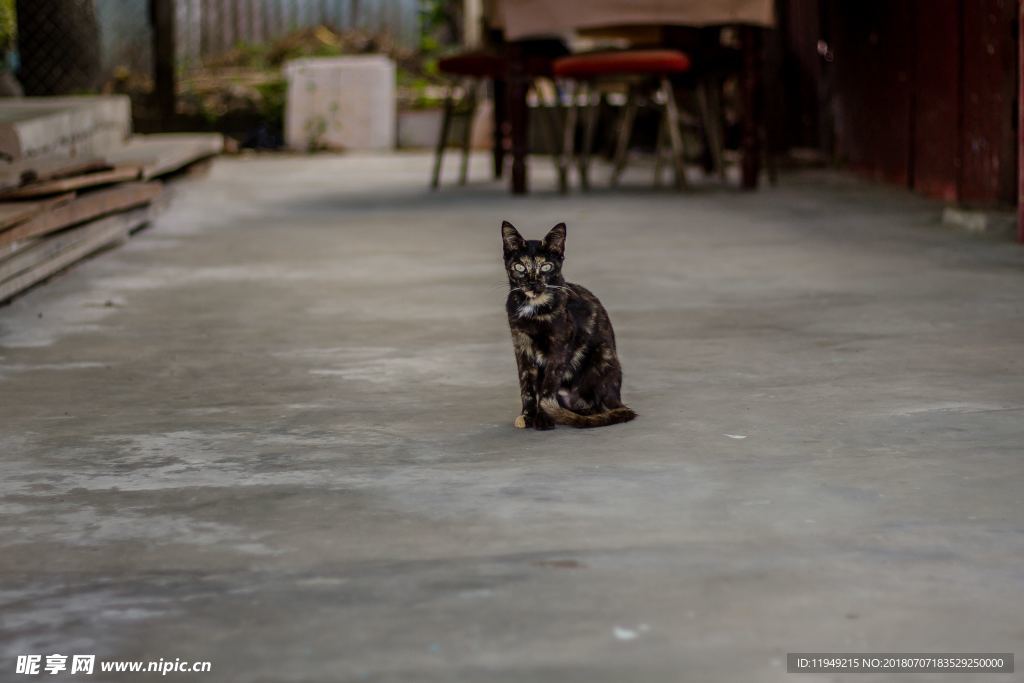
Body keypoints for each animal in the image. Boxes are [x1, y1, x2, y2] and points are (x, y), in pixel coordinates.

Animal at [501, 222, 634, 430]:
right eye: (520, 267)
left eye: (546, 266)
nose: (532, 283)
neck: (534, 310)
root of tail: (617, 397)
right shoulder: (521, 345)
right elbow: (526, 385)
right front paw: (528, 415)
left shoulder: (559, 348)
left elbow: (548, 386)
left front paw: (543, 417)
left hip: (602, 356)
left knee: (598, 407)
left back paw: (578, 414)